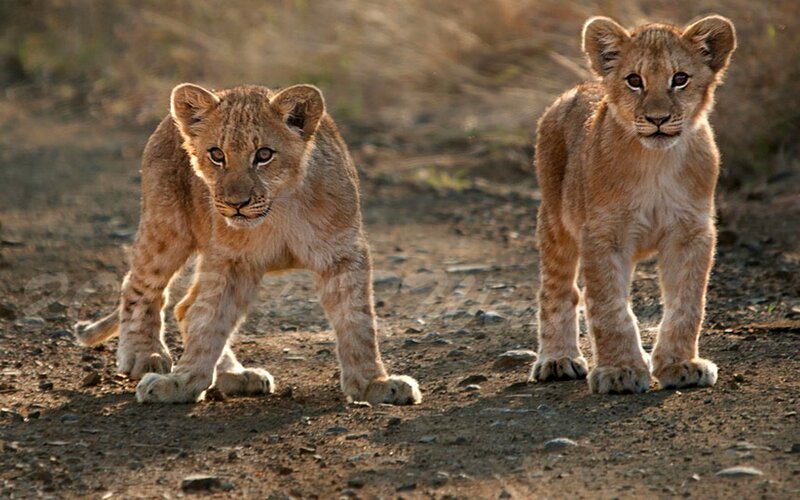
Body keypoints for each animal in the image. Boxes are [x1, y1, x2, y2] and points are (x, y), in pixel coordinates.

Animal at [75, 83, 421, 405]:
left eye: (264, 155)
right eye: (217, 154)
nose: (236, 204)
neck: (280, 209)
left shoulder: (342, 254)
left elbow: (358, 321)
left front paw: (373, 384)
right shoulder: (230, 260)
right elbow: (208, 321)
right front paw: (181, 382)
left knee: (185, 306)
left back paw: (235, 376)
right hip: (166, 228)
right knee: (140, 286)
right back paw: (144, 355)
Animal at [528, 16, 736, 393]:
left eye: (680, 78)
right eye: (634, 80)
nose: (657, 119)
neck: (655, 163)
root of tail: (578, 87)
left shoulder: (691, 232)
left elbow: (687, 304)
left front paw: (680, 365)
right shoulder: (602, 235)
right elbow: (610, 307)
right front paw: (620, 371)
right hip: (555, 221)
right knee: (559, 290)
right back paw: (557, 360)